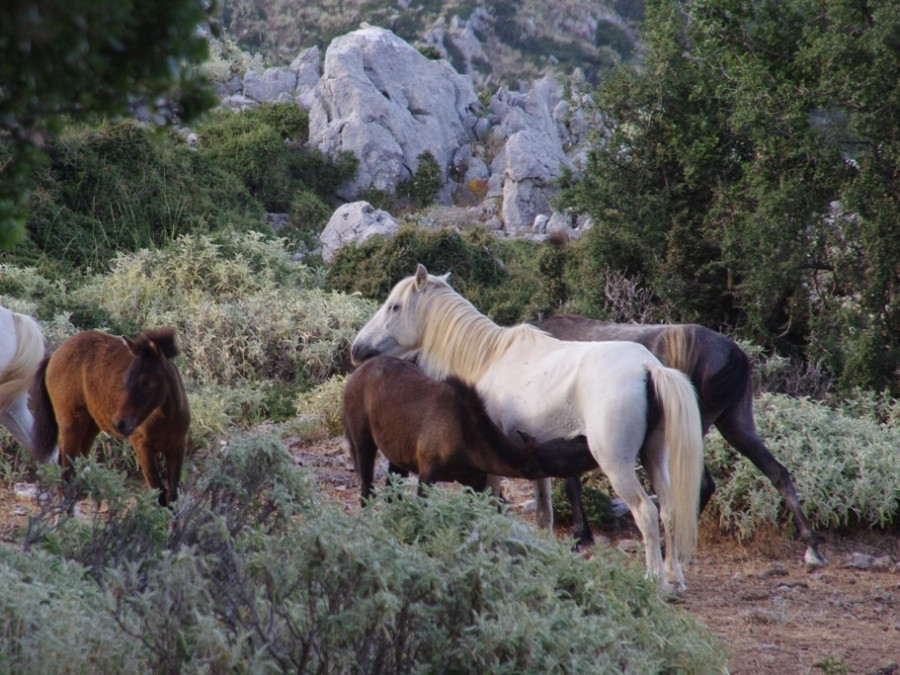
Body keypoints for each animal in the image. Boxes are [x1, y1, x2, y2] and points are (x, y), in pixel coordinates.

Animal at [29, 328, 190, 508]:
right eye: (126, 379)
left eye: (146, 382)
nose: (120, 423)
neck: (166, 418)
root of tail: (54, 355)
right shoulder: (142, 447)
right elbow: (160, 493)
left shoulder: (177, 447)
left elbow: (172, 495)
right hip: (71, 424)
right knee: (66, 469)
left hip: (90, 427)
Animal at [340, 356, 592, 504]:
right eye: (565, 454)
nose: (587, 440)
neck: (469, 443)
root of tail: (354, 375)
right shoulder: (427, 472)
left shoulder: (476, 482)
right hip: (363, 442)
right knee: (366, 489)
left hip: (398, 456)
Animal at [532, 316, 828, 572]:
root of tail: (736, 357)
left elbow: (571, 485)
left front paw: (581, 537)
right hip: (736, 422)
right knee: (778, 472)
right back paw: (812, 547)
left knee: (704, 483)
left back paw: (669, 550)